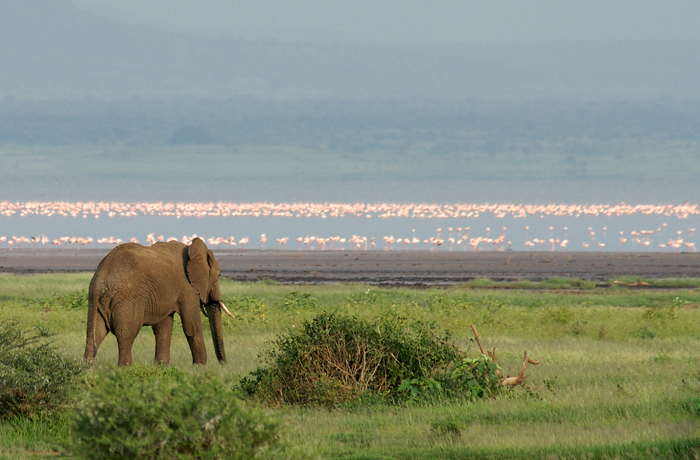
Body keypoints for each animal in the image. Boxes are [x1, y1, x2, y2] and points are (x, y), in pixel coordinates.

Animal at [82, 237, 235, 366]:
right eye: (219, 275)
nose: (224, 365)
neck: (192, 249)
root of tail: (101, 279)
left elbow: (163, 326)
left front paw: (161, 368)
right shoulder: (187, 287)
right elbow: (191, 326)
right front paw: (200, 369)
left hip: (98, 301)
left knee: (95, 334)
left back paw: (87, 372)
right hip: (127, 300)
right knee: (126, 336)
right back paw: (125, 370)